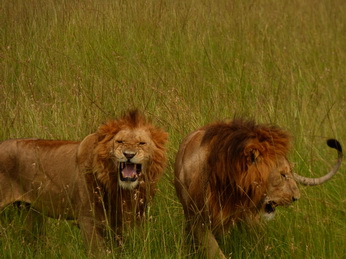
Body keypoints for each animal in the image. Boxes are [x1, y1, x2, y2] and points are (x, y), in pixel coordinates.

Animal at [0, 110, 168, 256]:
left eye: (142, 143)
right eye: (120, 141)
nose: (128, 155)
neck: (118, 187)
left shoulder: (122, 220)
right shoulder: (88, 219)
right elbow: (98, 253)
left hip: (29, 210)